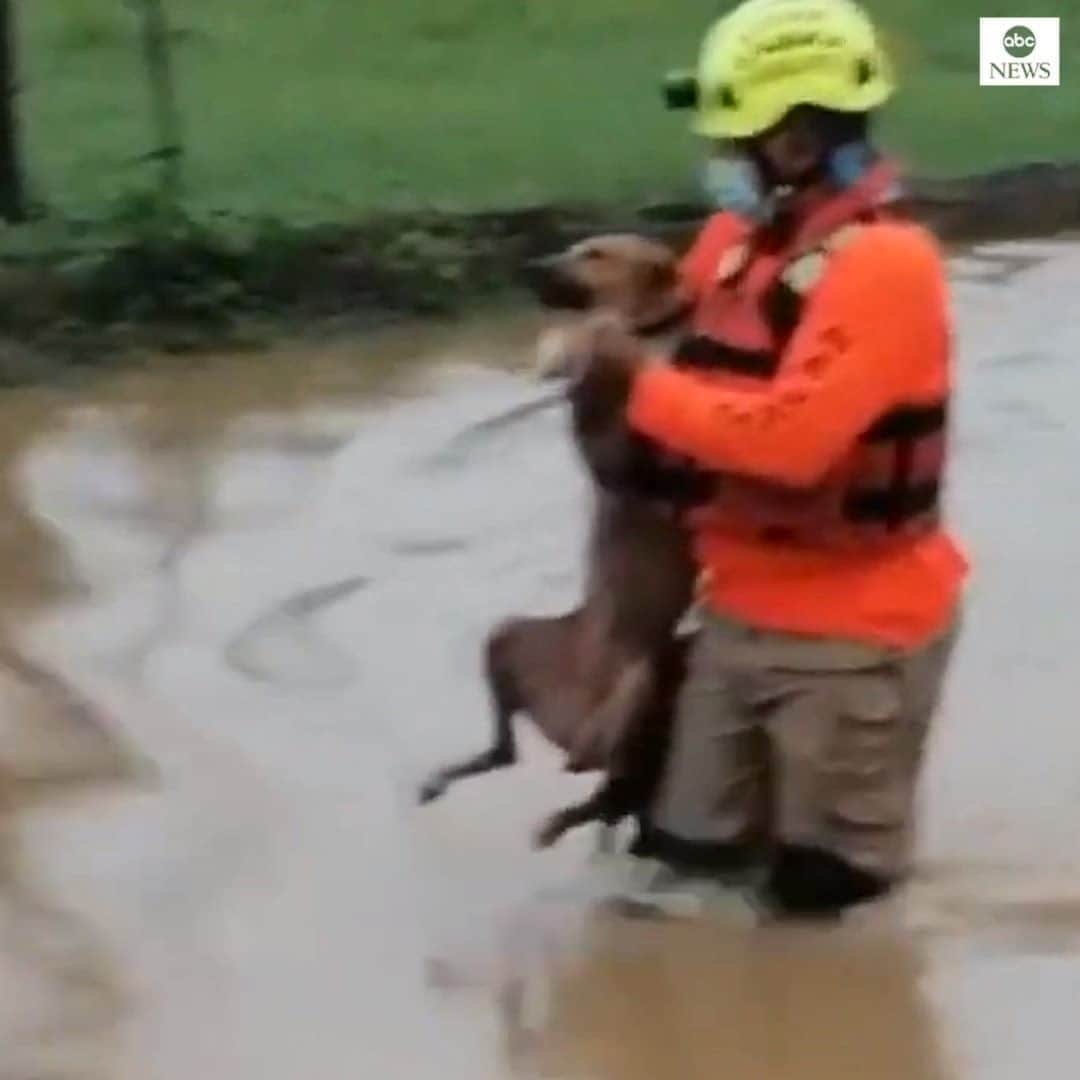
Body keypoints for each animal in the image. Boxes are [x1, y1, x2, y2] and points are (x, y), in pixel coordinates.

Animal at [414, 236, 708, 851]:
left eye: (595, 253)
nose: (530, 268)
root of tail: (569, 720)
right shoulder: (616, 442)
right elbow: (601, 357)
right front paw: (572, 350)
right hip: (510, 637)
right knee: (517, 754)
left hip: (639, 682)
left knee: (605, 783)